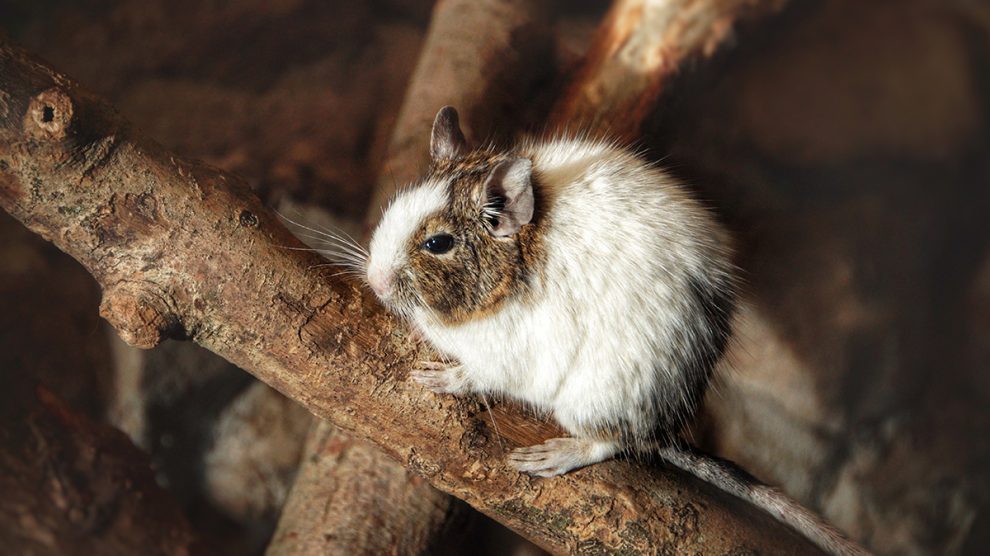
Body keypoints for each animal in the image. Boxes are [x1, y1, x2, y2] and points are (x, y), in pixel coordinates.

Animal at [363, 107, 867, 556]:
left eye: (438, 243)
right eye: (395, 205)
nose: (375, 282)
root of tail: (661, 431)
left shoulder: (509, 356)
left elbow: (476, 376)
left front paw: (440, 377)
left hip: (588, 398)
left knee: (612, 442)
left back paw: (557, 455)